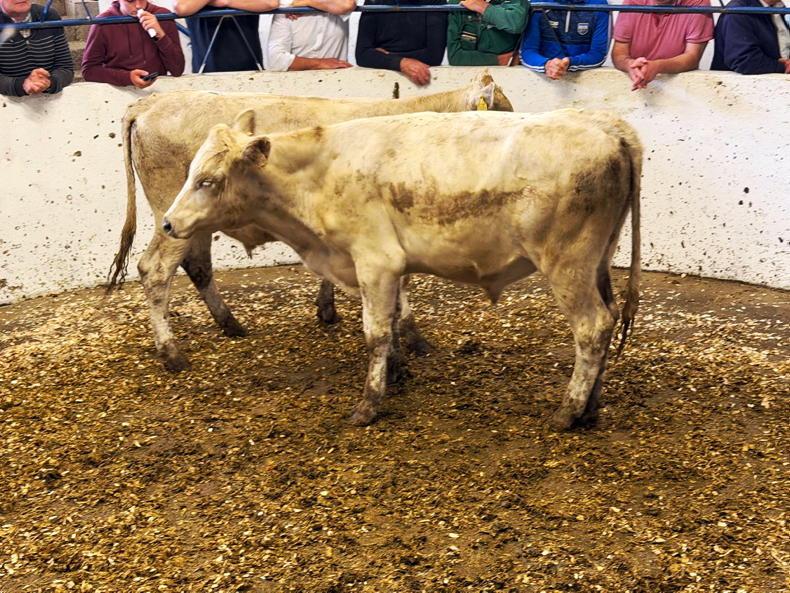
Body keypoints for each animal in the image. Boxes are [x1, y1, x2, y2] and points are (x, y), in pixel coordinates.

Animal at [107, 73, 514, 372]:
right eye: (499, 114)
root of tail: (149, 103)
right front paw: (411, 337)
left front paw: (327, 309)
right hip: (170, 211)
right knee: (155, 270)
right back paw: (172, 353)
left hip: (193, 220)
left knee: (197, 265)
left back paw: (231, 324)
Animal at [161, 108, 642, 431]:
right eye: (190, 173)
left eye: (207, 181)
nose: (167, 223)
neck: (319, 173)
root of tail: (608, 127)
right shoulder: (382, 269)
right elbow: (390, 324)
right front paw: (396, 372)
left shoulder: (375, 261)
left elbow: (374, 332)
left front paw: (369, 403)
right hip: (598, 261)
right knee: (608, 318)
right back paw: (591, 407)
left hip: (566, 265)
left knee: (592, 327)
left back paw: (567, 410)